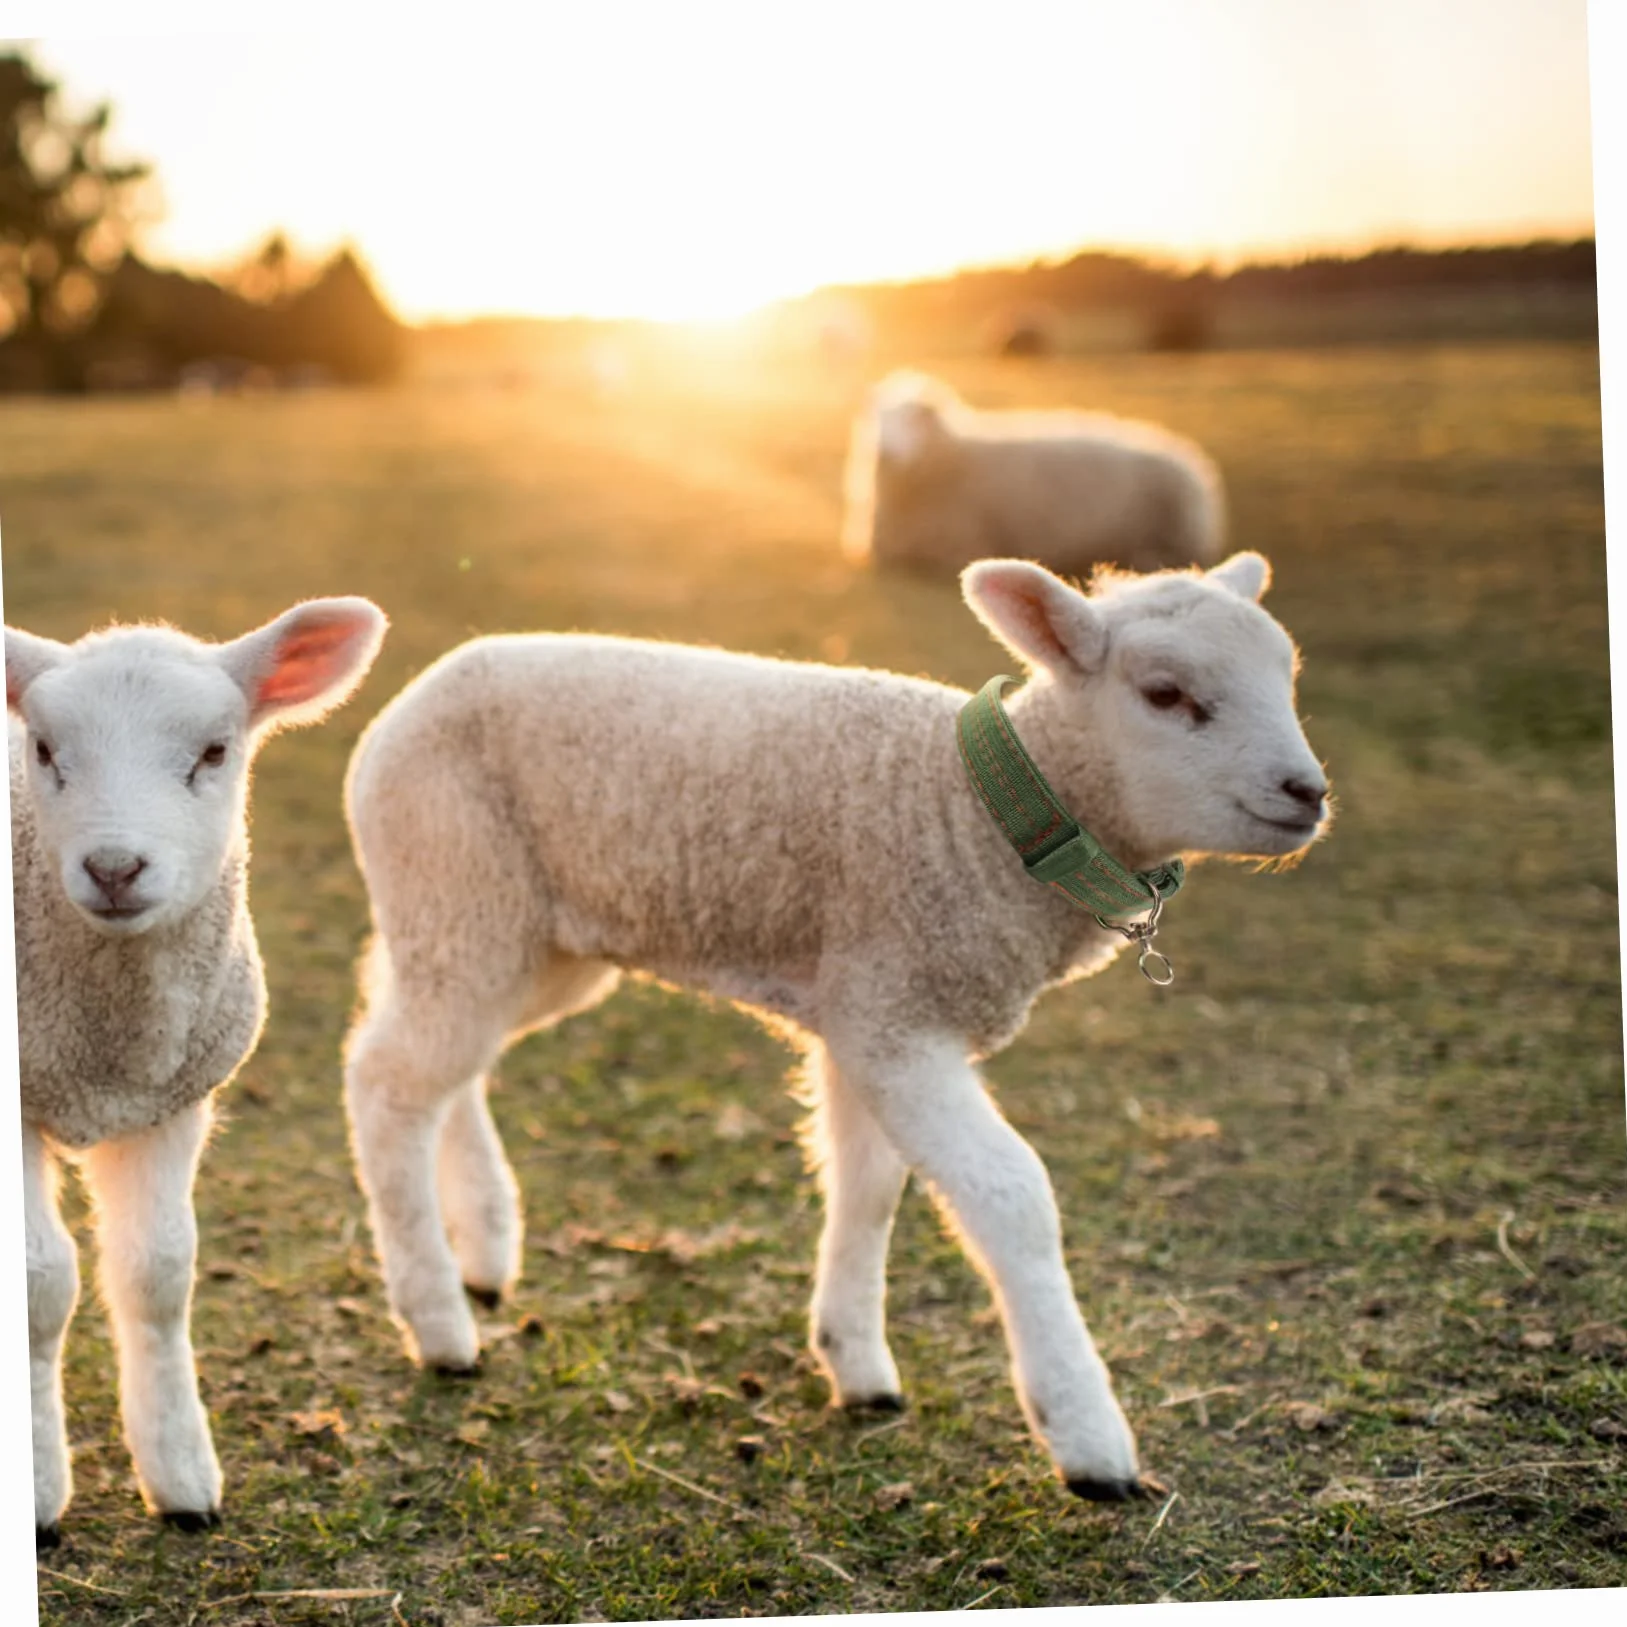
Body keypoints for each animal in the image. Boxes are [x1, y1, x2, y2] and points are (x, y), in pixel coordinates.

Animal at [8, 598, 387, 1547]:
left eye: (214, 752)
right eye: (44, 749)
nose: (114, 868)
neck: (109, 1044)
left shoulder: (172, 1096)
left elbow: (159, 1273)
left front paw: (182, 1479)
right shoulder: (17, 1092)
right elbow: (37, 1283)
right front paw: (35, 1492)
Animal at [339, 550, 1329, 1499]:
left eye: (1285, 676)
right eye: (1164, 693)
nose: (1307, 791)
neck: (977, 818)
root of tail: (415, 694)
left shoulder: (865, 1008)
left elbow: (869, 1185)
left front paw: (855, 1362)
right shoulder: (894, 1015)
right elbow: (1010, 1196)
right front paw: (1086, 1436)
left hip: (525, 938)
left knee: (445, 1064)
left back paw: (484, 1246)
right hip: (459, 884)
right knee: (388, 1079)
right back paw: (438, 1321)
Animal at [842, 369, 1226, 579]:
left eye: (912, 421)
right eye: (877, 418)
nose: (884, 451)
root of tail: (1193, 463)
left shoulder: (963, 545)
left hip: (1171, 534)